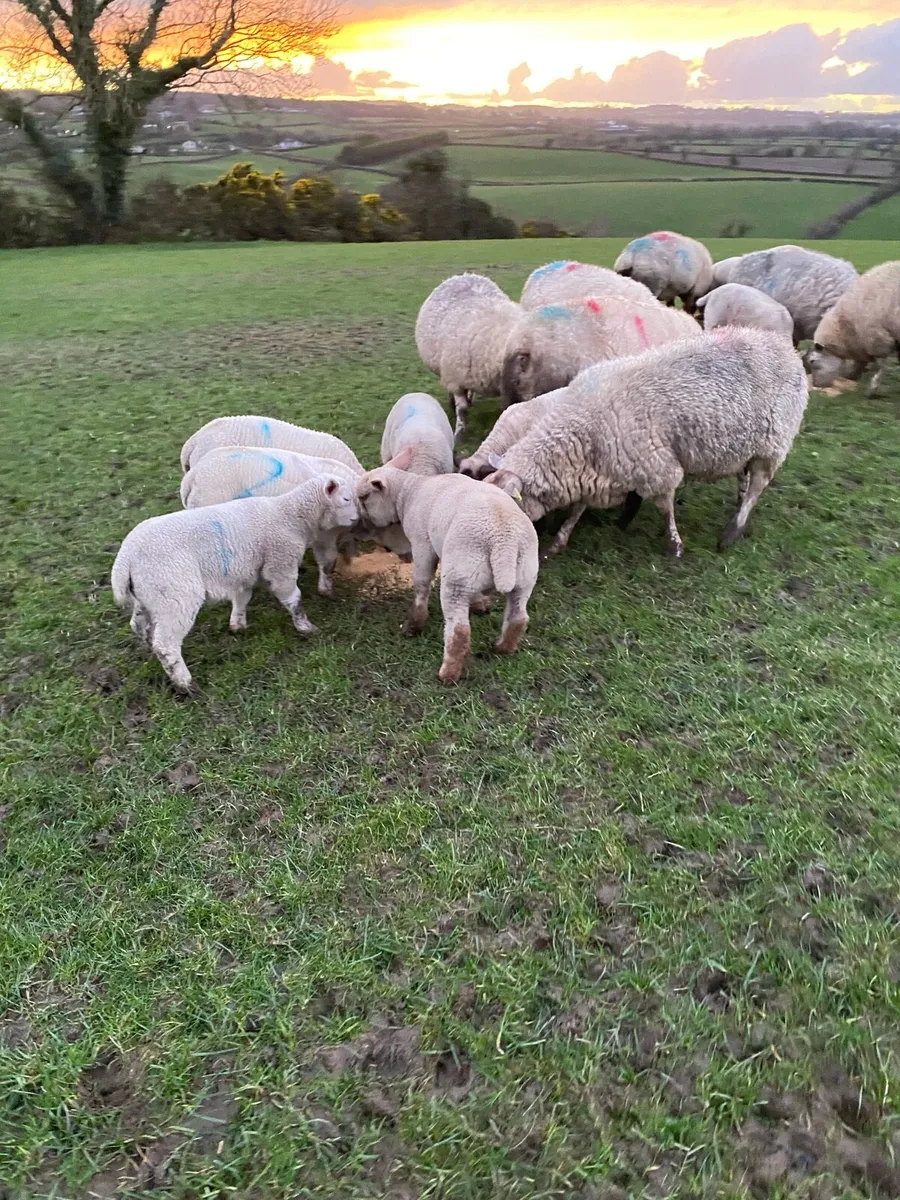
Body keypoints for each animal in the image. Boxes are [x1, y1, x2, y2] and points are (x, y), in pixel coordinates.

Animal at [111, 477, 359, 693]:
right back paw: (185, 684)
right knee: (166, 645)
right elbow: (293, 598)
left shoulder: (244, 572)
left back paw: (148, 649)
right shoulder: (280, 563)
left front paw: (238, 625)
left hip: (148, 594)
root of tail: (125, 559)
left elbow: (242, 598)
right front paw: (305, 627)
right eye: (346, 499)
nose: (357, 519)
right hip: (174, 593)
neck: (290, 515)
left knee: (140, 626)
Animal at [356, 445, 539, 684]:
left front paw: (414, 625)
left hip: (458, 577)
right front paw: (479, 603)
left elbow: (421, 583)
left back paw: (448, 673)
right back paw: (503, 648)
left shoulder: (422, 544)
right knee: (518, 617)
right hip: (522, 575)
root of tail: (503, 540)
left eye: (364, 497)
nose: (360, 524)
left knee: (459, 630)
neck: (409, 492)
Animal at [486, 327, 808, 558]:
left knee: (758, 486)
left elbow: (666, 509)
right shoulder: (598, 470)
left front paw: (674, 546)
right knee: (745, 478)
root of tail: (785, 347)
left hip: (772, 444)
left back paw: (733, 530)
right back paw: (739, 506)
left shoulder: (658, 468)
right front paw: (560, 541)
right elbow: (577, 510)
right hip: (746, 445)